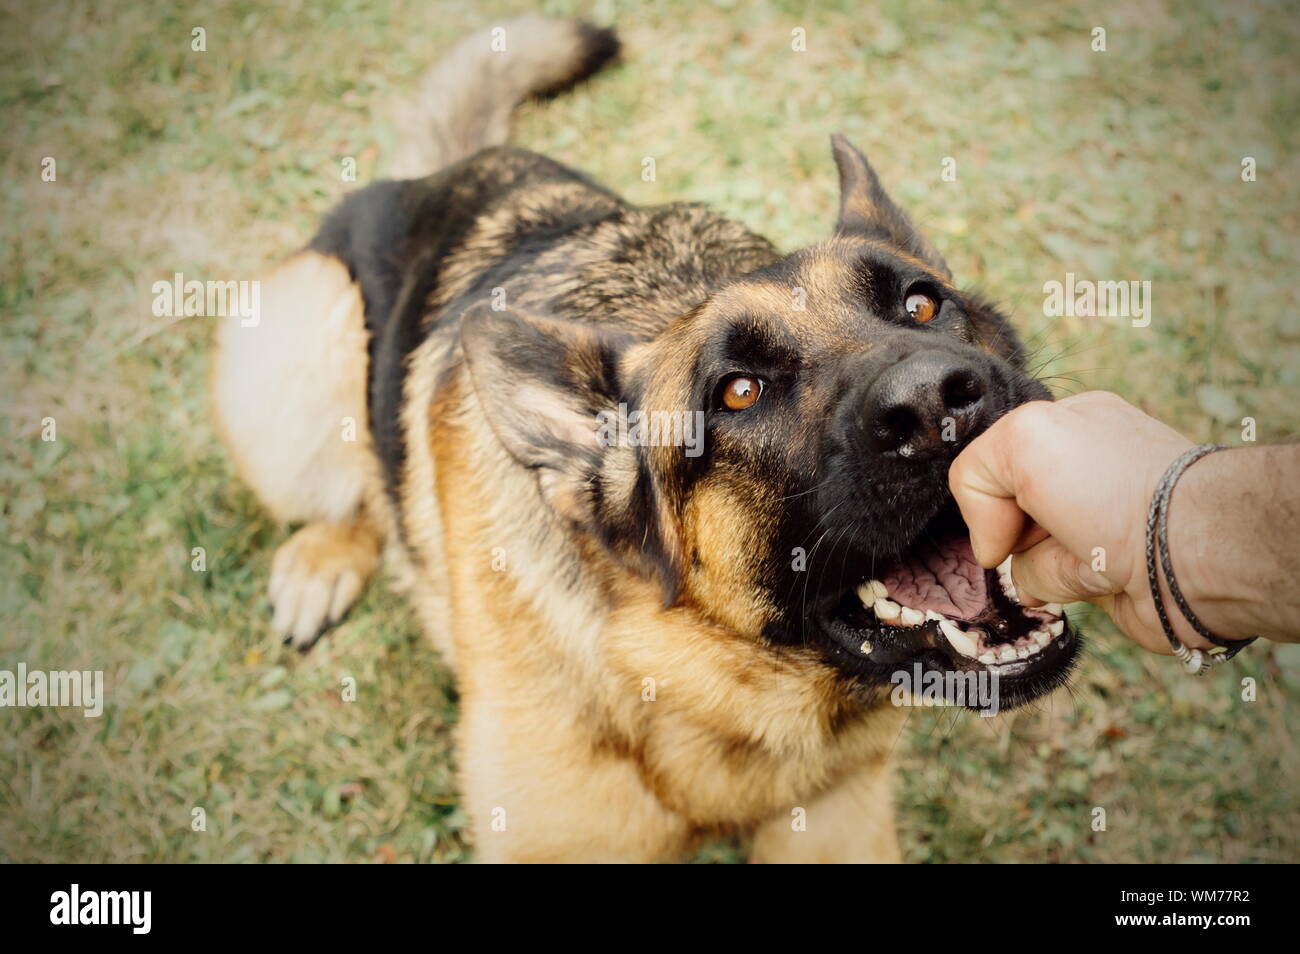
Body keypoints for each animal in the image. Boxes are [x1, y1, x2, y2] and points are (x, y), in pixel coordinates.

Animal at [215, 16, 1076, 868]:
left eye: (921, 304)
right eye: (738, 391)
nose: (936, 404)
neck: (704, 680)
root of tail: (448, 171)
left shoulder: (839, 821)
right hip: (305, 344)